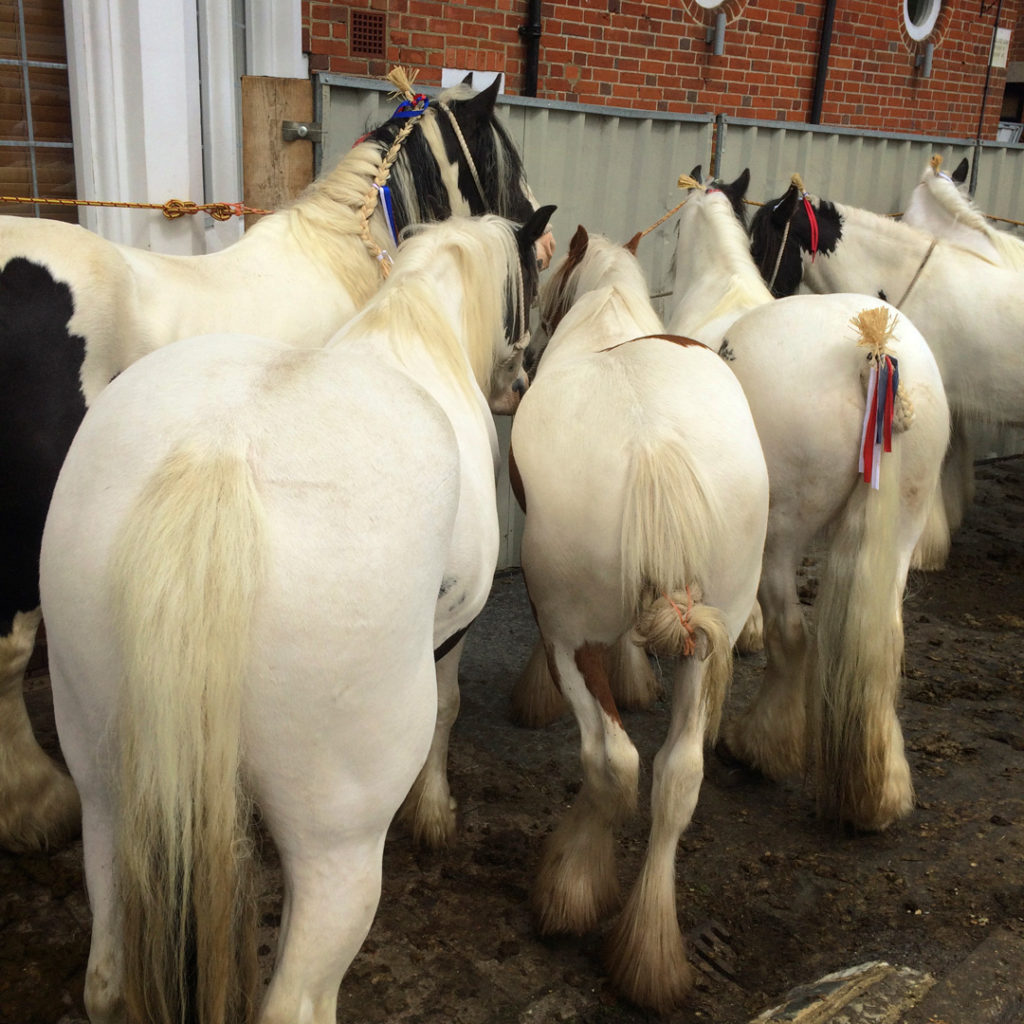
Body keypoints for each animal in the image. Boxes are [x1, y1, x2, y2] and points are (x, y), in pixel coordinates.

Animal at [37, 207, 552, 1024]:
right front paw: (436, 814)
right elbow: (449, 709)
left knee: (106, 976)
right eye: (533, 275)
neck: (416, 331)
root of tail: (216, 455)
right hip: (337, 841)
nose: (521, 385)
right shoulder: (456, 631)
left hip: (103, 780)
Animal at [512, 220, 770, 1011]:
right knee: (678, 776)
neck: (607, 317)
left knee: (613, 763)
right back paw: (651, 949)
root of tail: (653, 446)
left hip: (569, 635)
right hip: (713, 631)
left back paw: (568, 887)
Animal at [671, 176, 950, 831]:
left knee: (793, 639)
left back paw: (759, 746)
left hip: (782, 539)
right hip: (901, 531)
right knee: (885, 642)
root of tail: (872, 350)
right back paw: (880, 792)